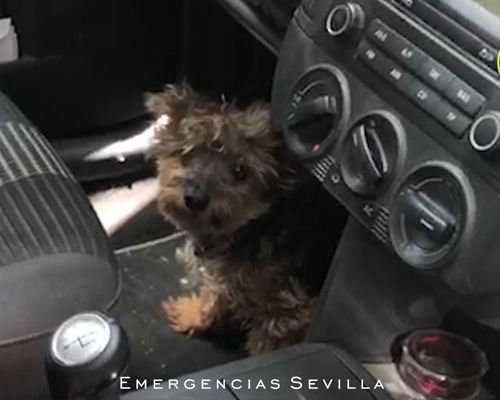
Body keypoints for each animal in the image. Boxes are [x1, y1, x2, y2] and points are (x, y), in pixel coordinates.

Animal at [144, 83, 340, 354]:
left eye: (240, 170)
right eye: (188, 153)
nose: (195, 197)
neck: (254, 227)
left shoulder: (287, 311)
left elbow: (265, 343)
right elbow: (215, 293)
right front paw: (194, 315)